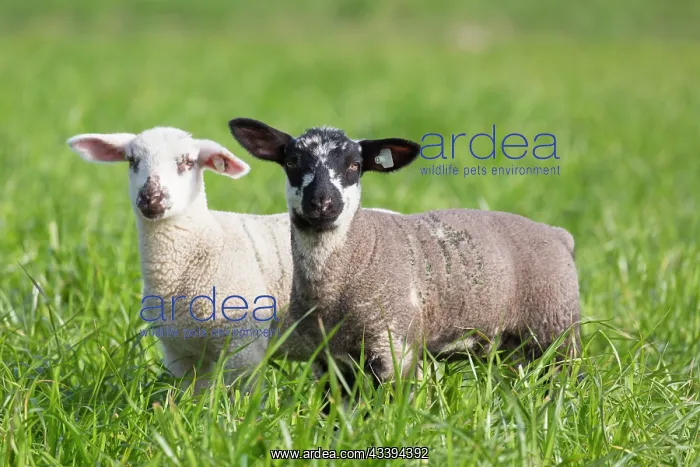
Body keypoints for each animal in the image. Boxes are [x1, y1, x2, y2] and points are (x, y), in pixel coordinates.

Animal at [67, 127, 294, 393]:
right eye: (132, 160)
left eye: (187, 162)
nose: (151, 197)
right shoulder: (180, 352)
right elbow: (193, 394)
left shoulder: (244, 347)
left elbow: (242, 394)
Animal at [228, 117, 581, 386]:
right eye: (291, 162)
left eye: (355, 165)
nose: (322, 204)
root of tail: (558, 235)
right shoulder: (326, 358)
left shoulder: (395, 346)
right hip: (510, 346)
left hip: (557, 331)